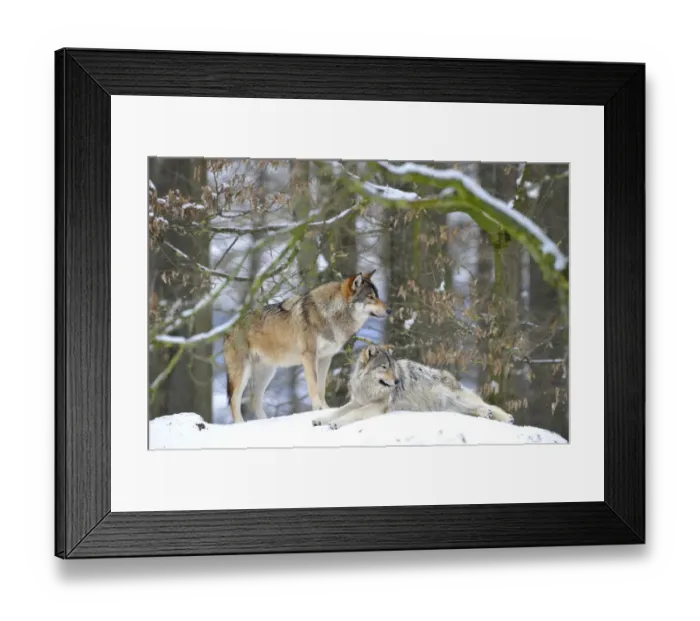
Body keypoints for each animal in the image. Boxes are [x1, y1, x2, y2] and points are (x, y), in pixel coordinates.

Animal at [223, 270, 391, 424]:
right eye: (370, 297)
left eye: (377, 295)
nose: (389, 310)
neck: (331, 314)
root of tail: (229, 326)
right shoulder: (309, 356)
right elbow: (313, 385)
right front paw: (317, 409)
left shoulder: (325, 358)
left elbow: (322, 388)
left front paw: (325, 409)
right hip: (243, 373)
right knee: (234, 400)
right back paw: (240, 423)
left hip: (267, 372)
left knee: (254, 400)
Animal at [312, 343, 515, 430]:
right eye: (383, 367)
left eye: (392, 367)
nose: (397, 381)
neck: (368, 388)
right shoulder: (358, 402)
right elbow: (337, 411)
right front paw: (321, 419)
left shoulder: (377, 405)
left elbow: (352, 415)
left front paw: (336, 423)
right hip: (449, 406)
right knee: (475, 410)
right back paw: (487, 415)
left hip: (456, 398)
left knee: (487, 405)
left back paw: (503, 417)